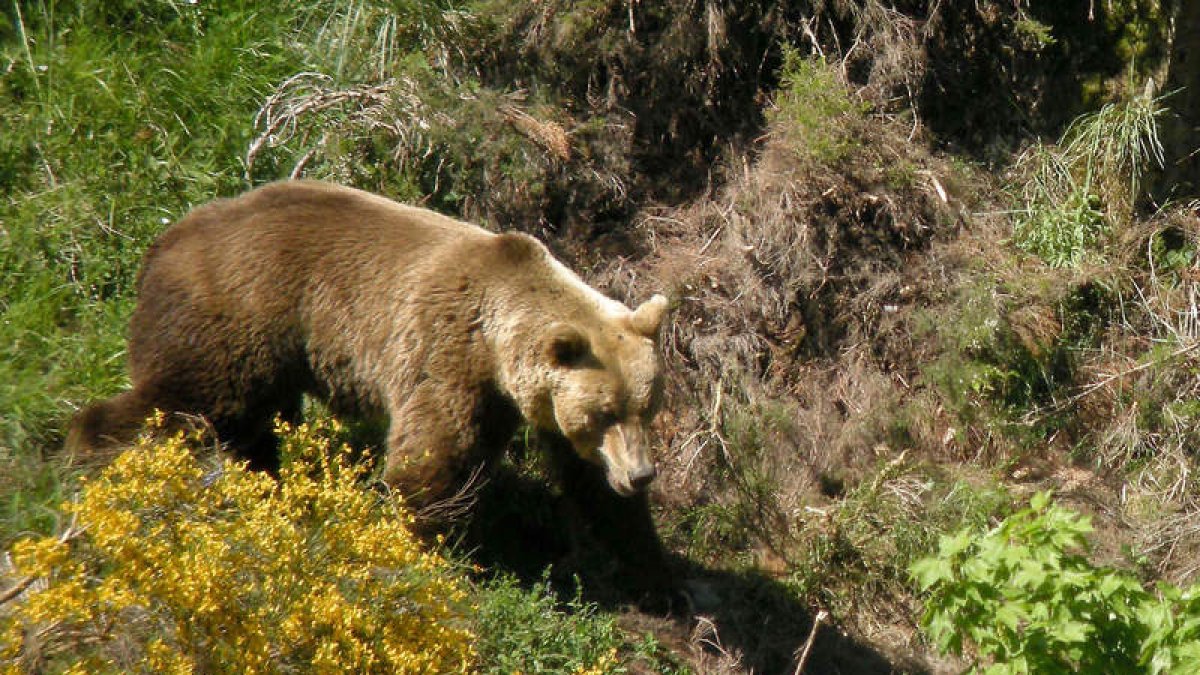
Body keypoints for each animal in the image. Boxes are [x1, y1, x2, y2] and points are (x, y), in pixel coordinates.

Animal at [67, 180, 673, 593]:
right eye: (603, 412)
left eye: (646, 407)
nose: (641, 475)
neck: (497, 341)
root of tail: (162, 241)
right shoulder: (445, 353)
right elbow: (432, 458)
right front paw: (436, 553)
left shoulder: (535, 403)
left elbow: (591, 488)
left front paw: (653, 571)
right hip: (237, 314)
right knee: (188, 401)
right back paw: (92, 458)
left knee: (252, 423)